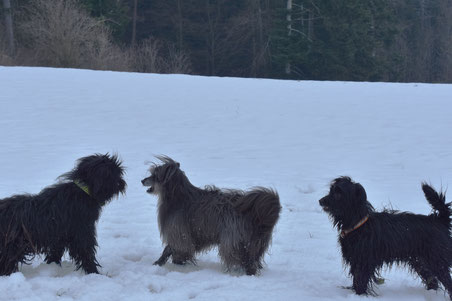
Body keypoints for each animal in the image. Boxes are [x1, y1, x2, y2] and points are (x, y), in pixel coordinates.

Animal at [143, 156, 280, 276]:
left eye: (155, 175)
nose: (142, 180)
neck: (177, 195)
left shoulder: (179, 232)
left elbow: (174, 247)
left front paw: (173, 262)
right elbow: (170, 248)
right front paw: (161, 262)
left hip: (232, 238)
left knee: (241, 258)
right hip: (254, 241)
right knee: (252, 257)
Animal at [318, 176, 452, 298]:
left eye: (338, 193)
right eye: (331, 190)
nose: (320, 201)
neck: (358, 222)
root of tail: (439, 220)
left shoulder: (363, 262)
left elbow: (360, 281)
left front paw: (359, 295)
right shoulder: (355, 260)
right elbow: (356, 280)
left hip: (437, 260)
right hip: (421, 262)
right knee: (432, 281)